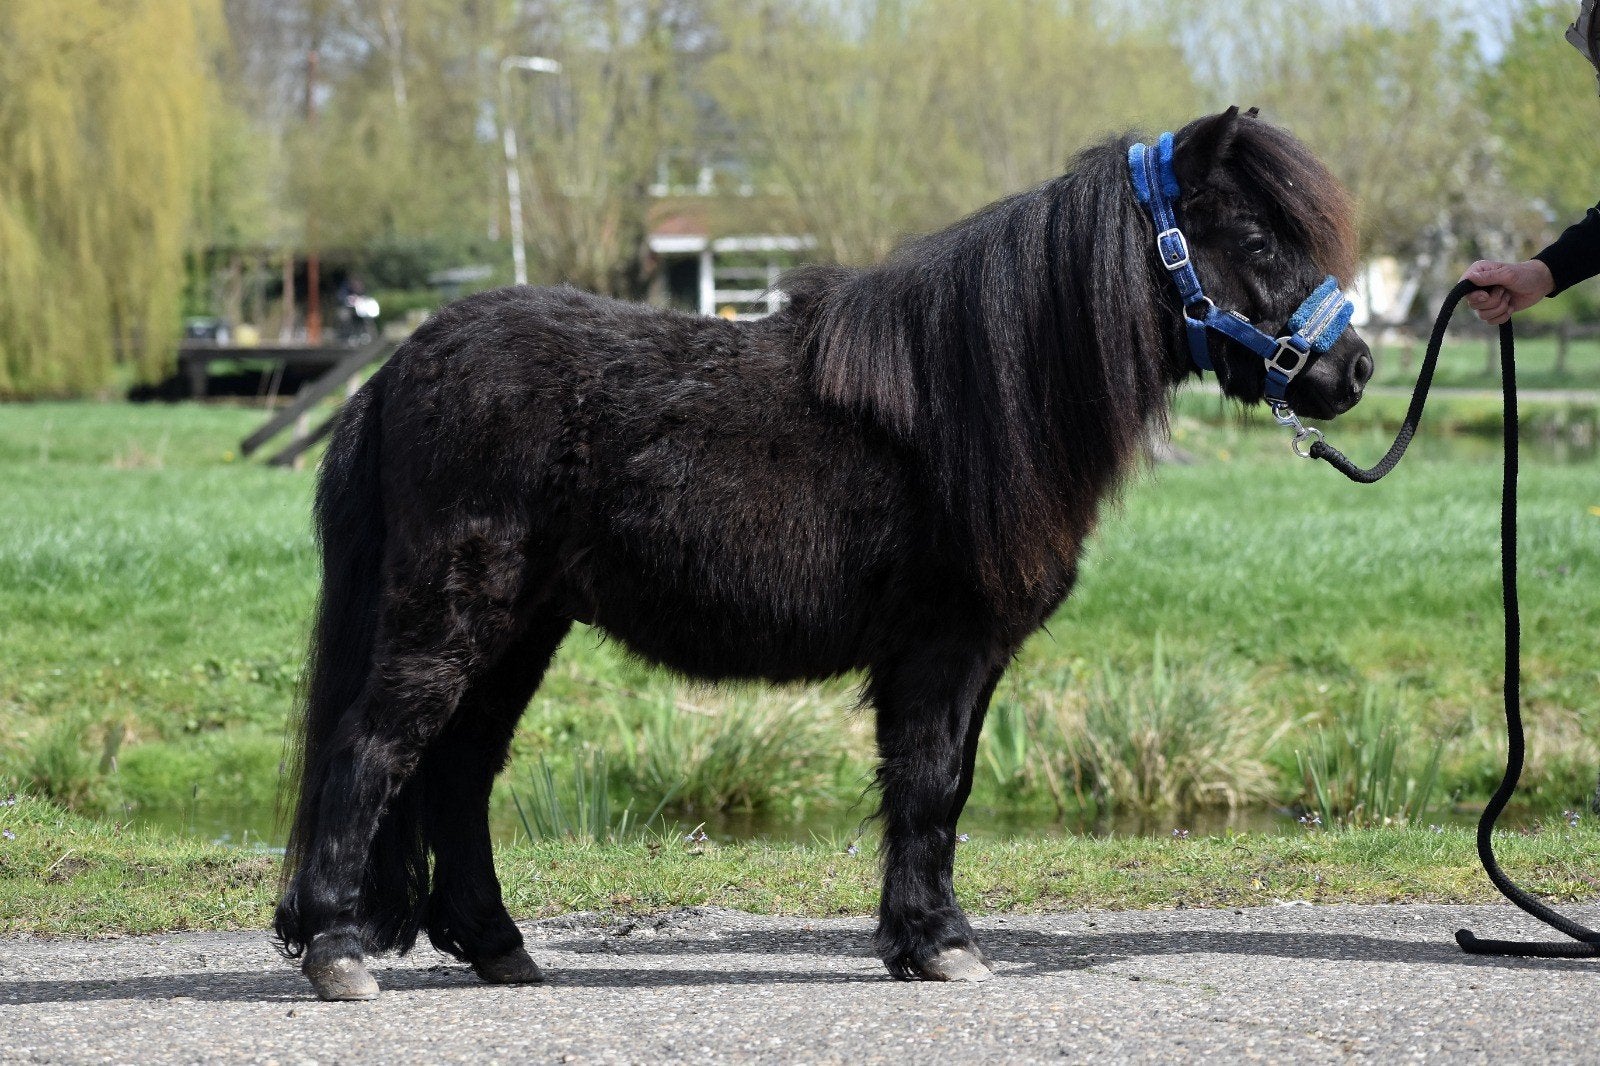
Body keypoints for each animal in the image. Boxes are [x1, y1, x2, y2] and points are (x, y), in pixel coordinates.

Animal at [274, 106, 1370, 1000]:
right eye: (1257, 236)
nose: (1353, 370)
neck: (973, 400)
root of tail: (400, 366)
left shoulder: (969, 658)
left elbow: (945, 788)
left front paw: (921, 938)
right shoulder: (940, 648)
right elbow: (926, 784)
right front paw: (940, 945)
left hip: (523, 628)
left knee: (459, 770)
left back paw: (499, 946)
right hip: (453, 615)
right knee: (373, 750)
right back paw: (338, 951)